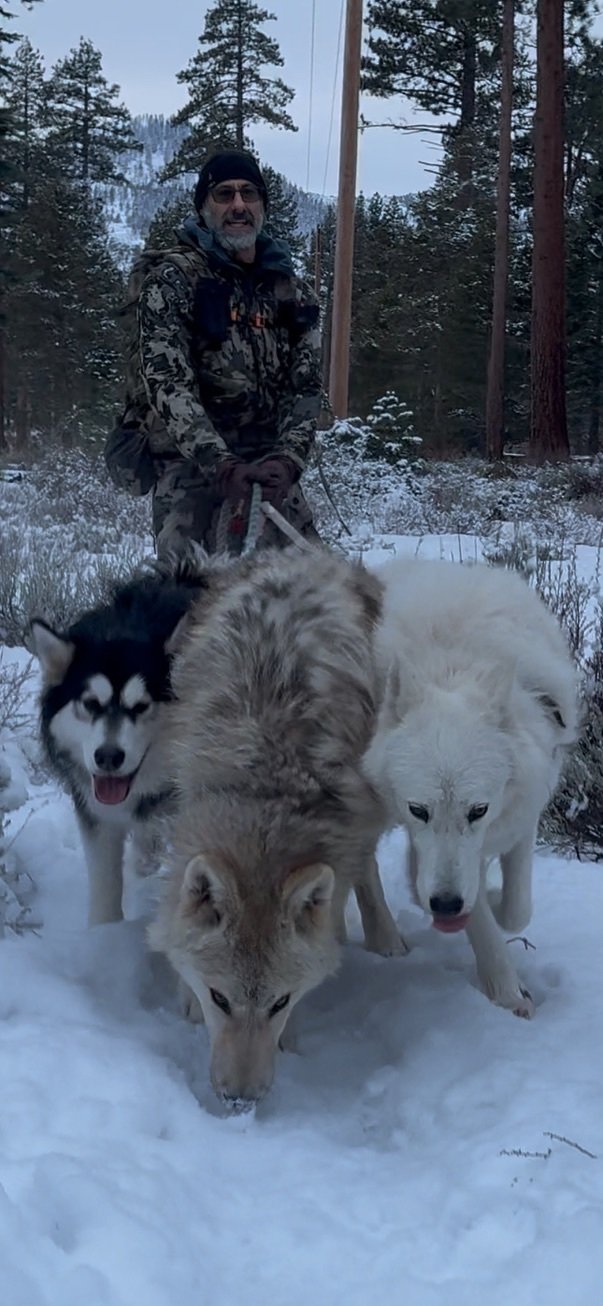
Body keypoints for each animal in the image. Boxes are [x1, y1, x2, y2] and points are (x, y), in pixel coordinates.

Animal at [31, 563, 207, 926]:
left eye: (140, 706)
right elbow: (105, 884)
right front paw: (104, 933)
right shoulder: (96, 815)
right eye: (90, 704)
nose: (108, 757)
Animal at [149, 547, 405, 1110]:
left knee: (367, 870)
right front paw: (184, 1000)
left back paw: (386, 937)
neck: (268, 784)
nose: (240, 1100)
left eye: (280, 1002)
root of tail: (304, 554)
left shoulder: (348, 827)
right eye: (220, 998)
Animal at [363, 558, 579, 1019]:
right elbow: (481, 922)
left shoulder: (522, 811)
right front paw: (508, 994)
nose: (444, 906)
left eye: (478, 810)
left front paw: (496, 897)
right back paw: (385, 940)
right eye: (419, 810)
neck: (453, 662)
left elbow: (517, 909)